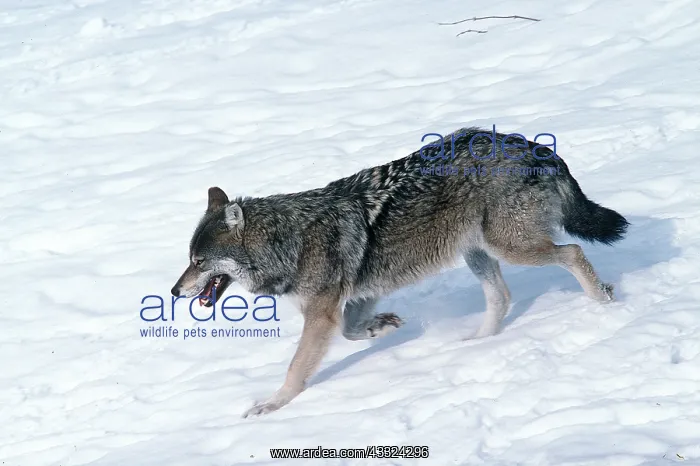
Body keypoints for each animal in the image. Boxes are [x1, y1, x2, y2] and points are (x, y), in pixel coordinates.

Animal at [171, 127, 629, 417]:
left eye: (198, 262)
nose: (174, 292)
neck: (289, 241)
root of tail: (534, 146)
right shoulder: (361, 293)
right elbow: (351, 330)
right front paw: (383, 326)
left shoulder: (320, 314)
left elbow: (297, 368)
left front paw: (273, 404)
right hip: (477, 253)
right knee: (502, 298)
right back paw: (476, 343)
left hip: (510, 247)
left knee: (572, 252)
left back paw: (602, 301)